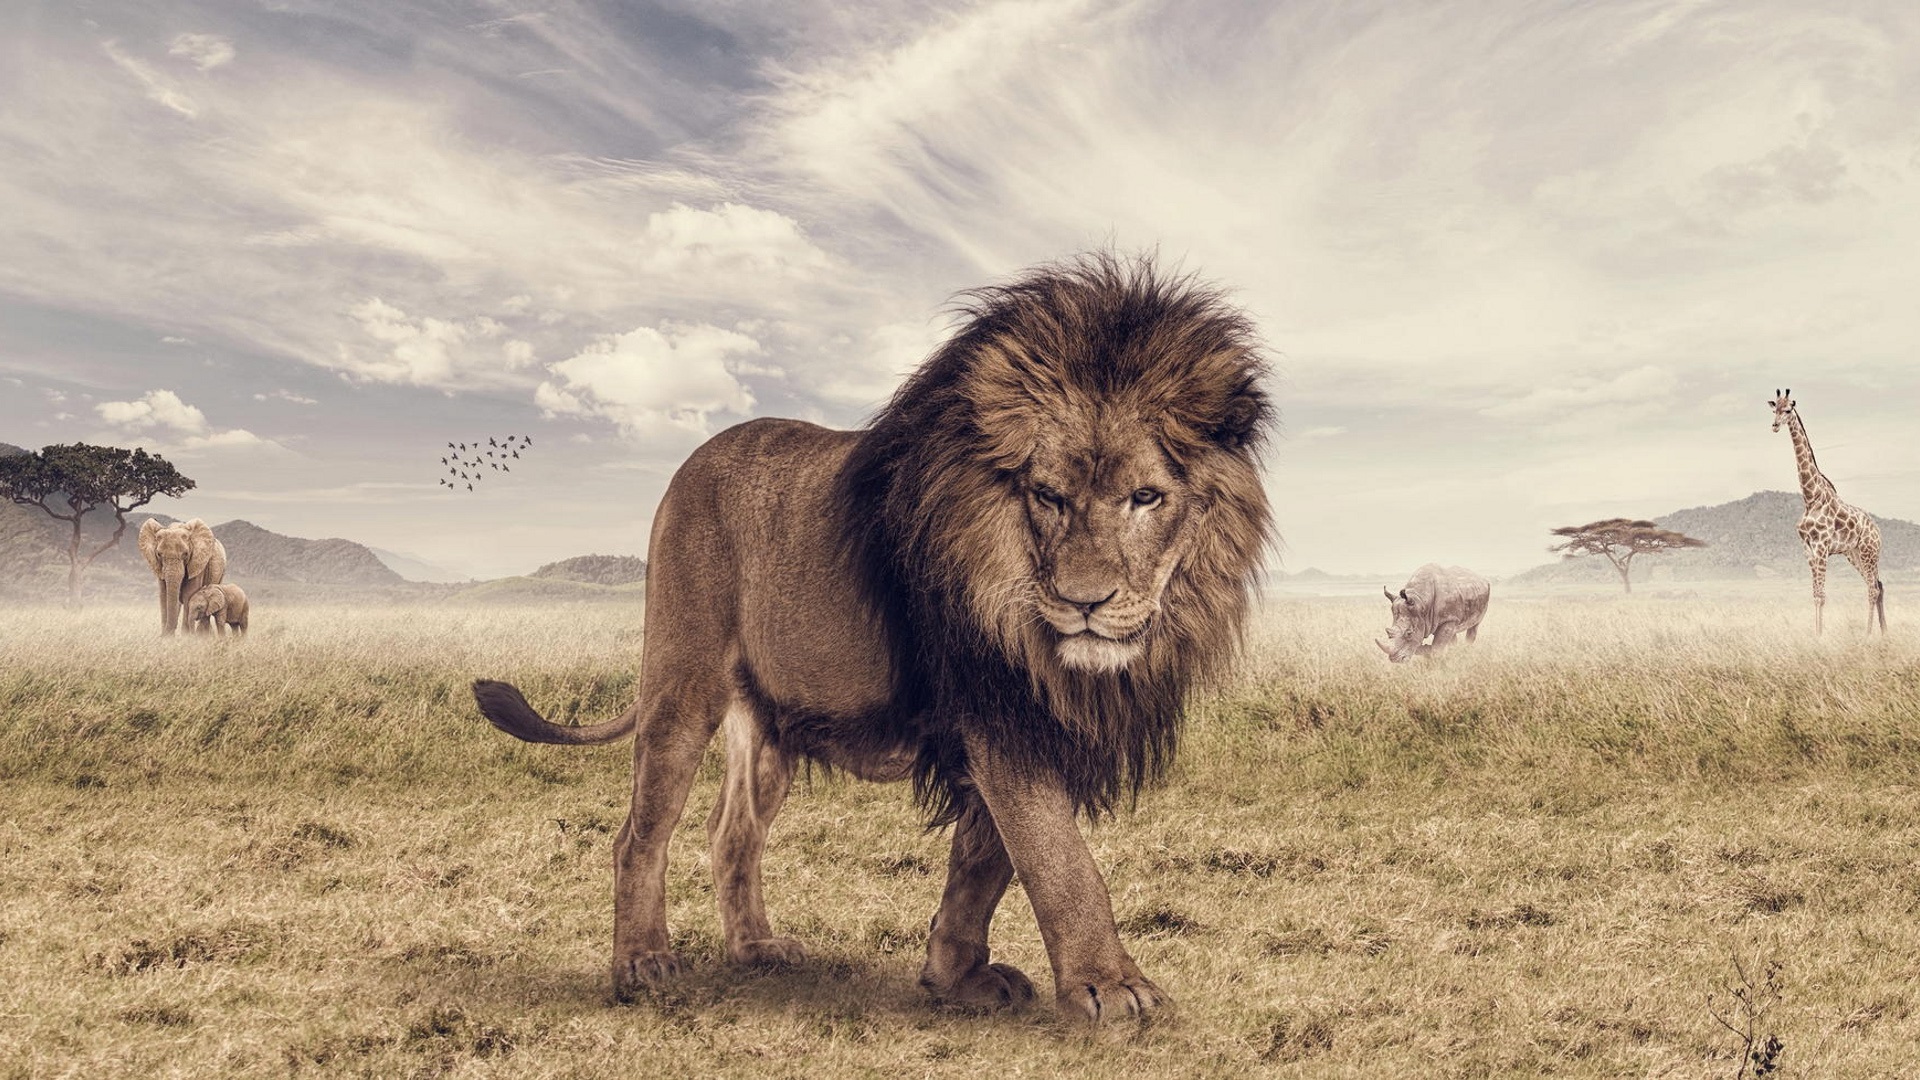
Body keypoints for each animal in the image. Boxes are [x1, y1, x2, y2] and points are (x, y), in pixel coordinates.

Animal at [473, 253, 1274, 1024]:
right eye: (1047, 496)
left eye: (1146, 497)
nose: (1085, 603)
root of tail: (694, 460)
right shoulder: (997, 706)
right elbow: (1056, 858)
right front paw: (1110, 988)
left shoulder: (1019, 717)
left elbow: (983, 860)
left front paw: (954, 978)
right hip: (681, 681)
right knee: (640, 834)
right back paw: (642, 963)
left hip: (770, 728)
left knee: (732, 832)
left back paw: (756, 948)